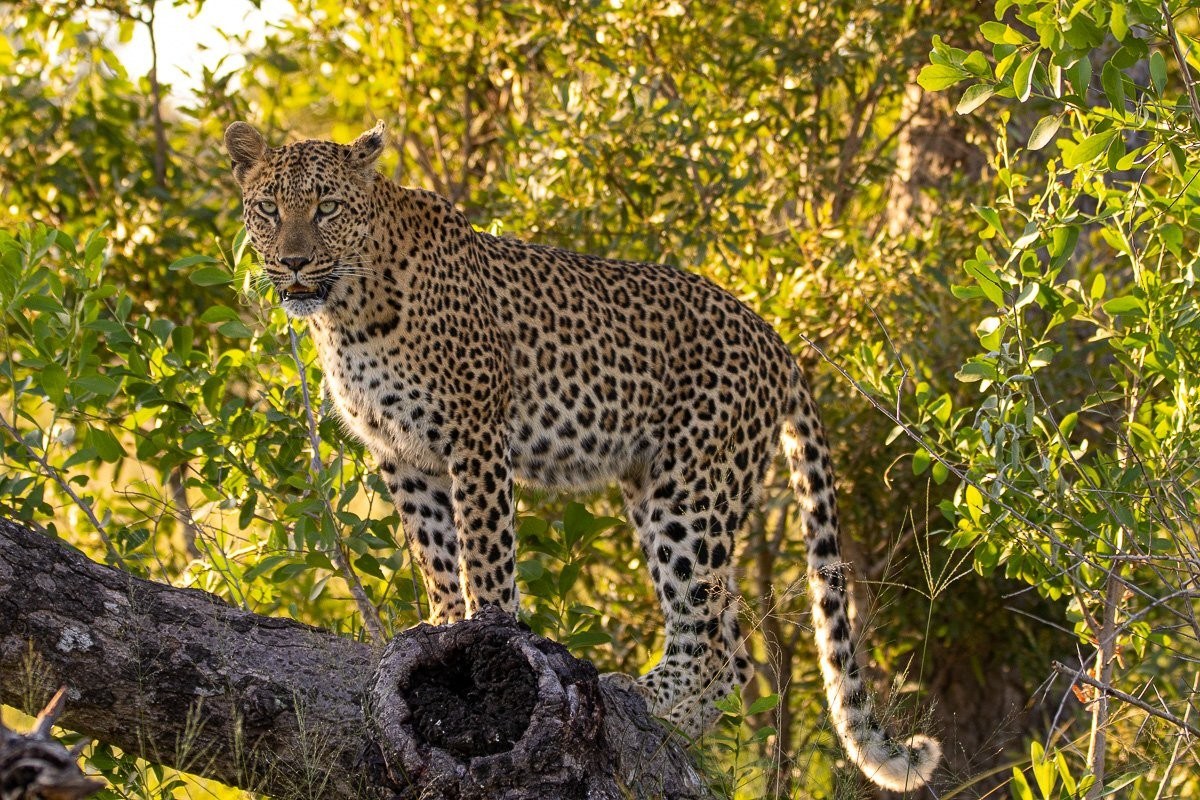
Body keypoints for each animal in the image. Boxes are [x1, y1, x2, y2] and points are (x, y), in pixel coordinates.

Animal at [224, 120, 941, 792]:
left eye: (326, 208)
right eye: (268, 209)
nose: (292, 263)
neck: (348, 310)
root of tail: (775, 338)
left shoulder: (474, 434)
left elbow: (485, 555)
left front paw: (490, 637)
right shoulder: (404, 455)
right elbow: (436, 555)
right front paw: (440, 632)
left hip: (690, 492)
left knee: (710, 640)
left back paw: (640, 699)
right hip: (664, 489)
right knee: (732, 647)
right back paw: (668, 726)